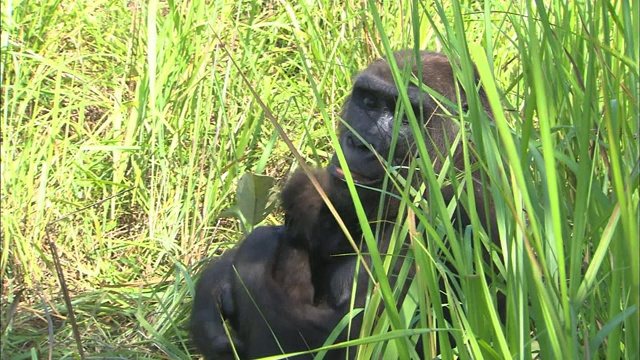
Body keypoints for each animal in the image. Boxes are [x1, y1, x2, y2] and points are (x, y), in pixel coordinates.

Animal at [190, 49, 496, 358]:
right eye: (369, 103)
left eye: (405, 117)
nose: (359, 142)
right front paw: (214, 282)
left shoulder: (456, 216)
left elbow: (352, 342)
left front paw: (254, 250)